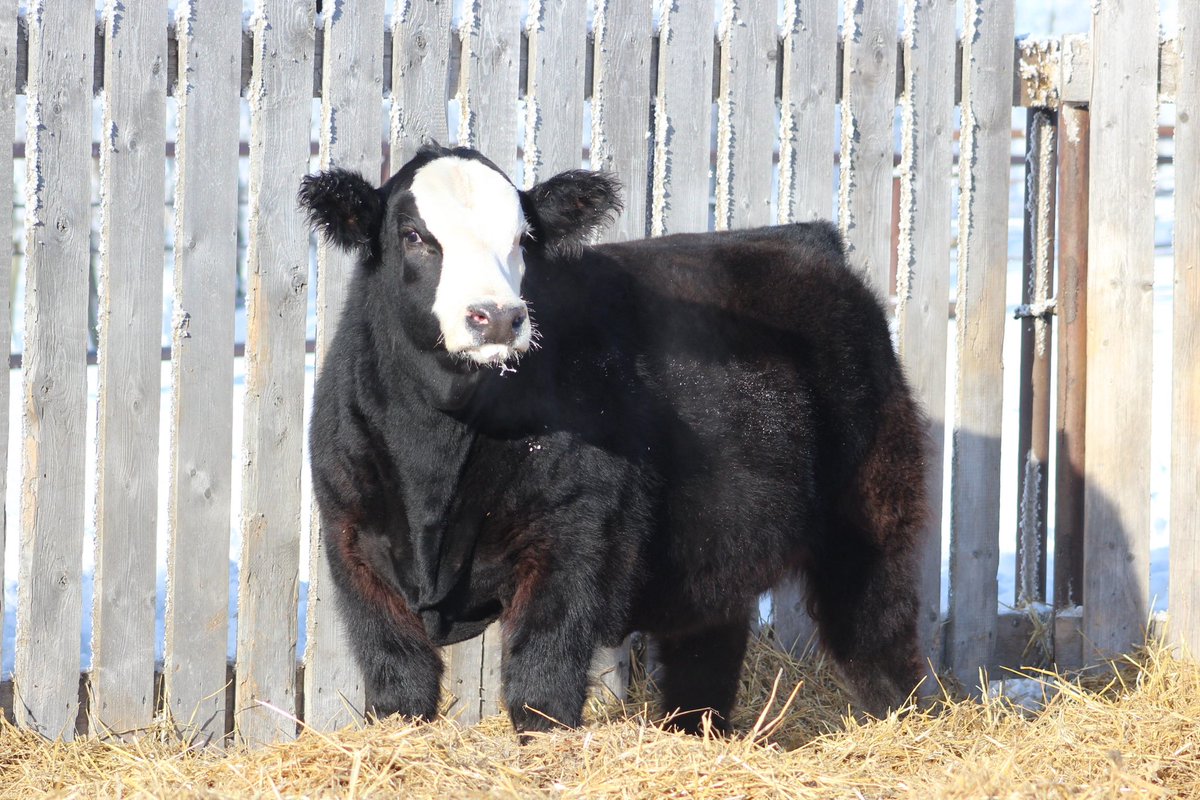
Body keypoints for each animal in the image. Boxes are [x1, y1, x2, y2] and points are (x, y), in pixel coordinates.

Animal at [300, 144, 928, 737]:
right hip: (718, 543)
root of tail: (806, 240)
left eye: (522, 238)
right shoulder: (352, 544)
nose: (498, 318)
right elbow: (398, 681)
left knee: (876, 633)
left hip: (872, 514)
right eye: (414, 235)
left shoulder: (574, 537)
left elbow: (540, 684)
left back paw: (907, 719)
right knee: (708, 646)